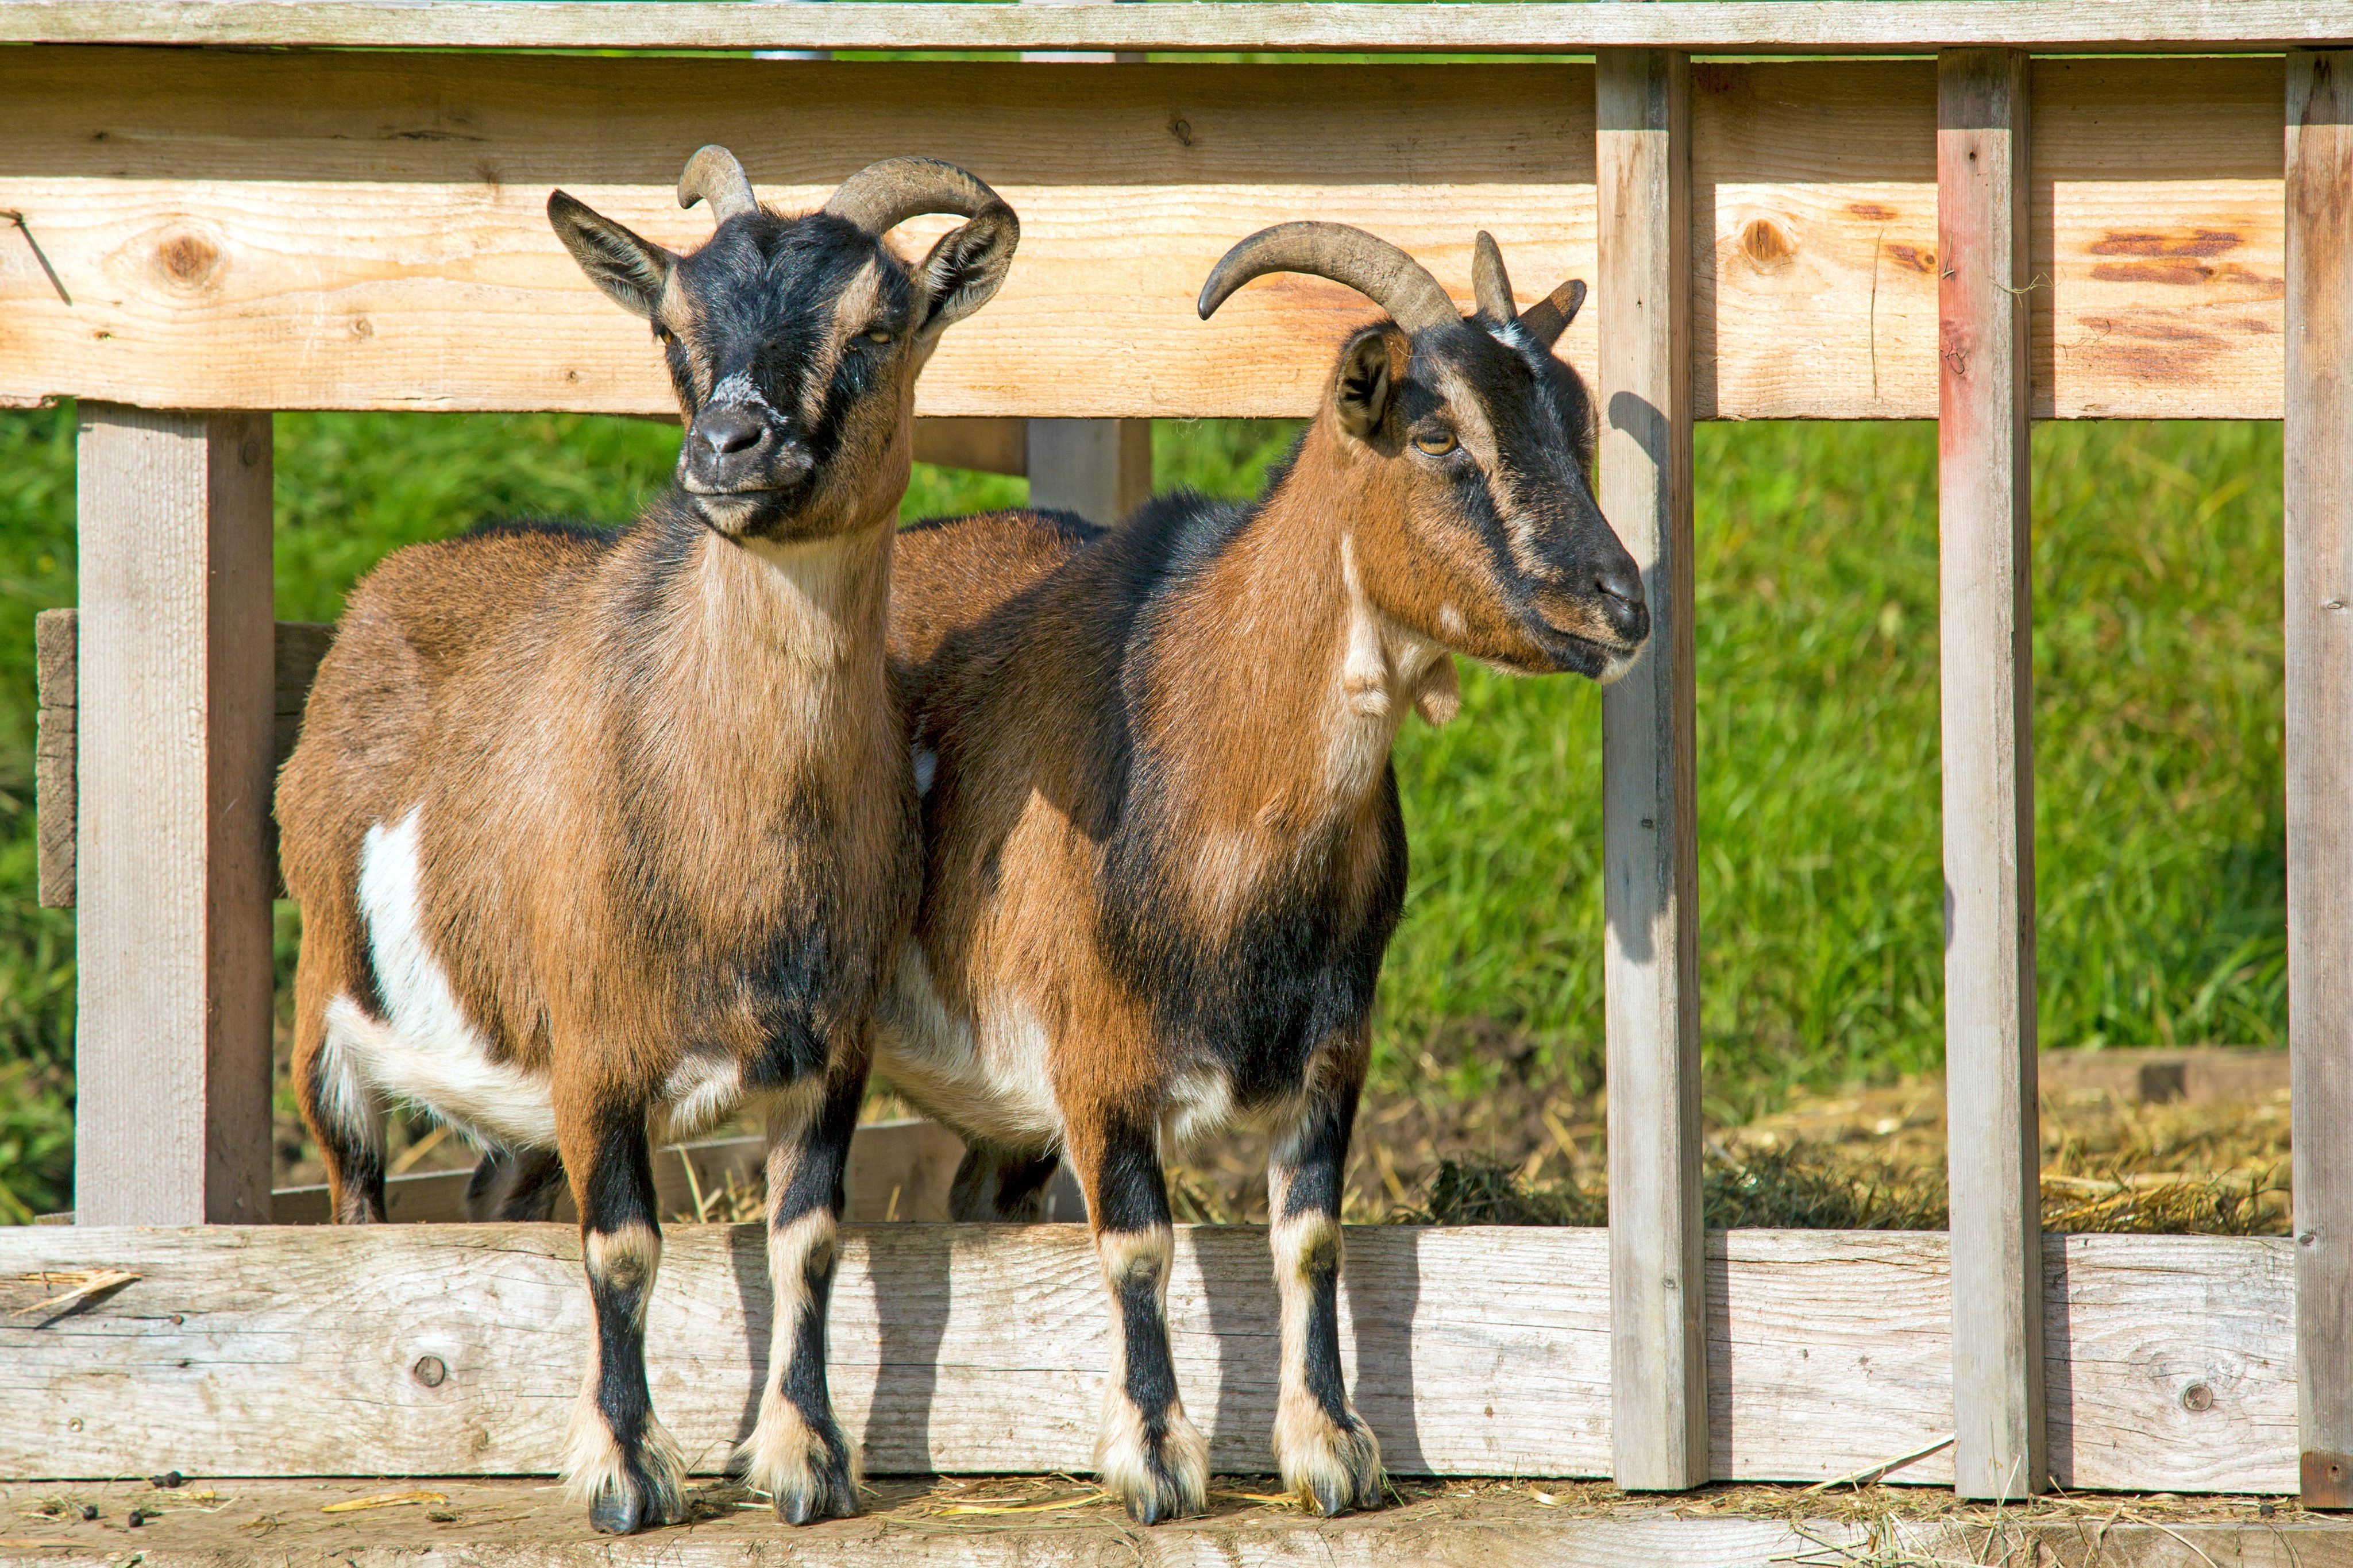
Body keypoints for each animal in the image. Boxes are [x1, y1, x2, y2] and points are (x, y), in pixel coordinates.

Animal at [275, 146, 1019, 1534]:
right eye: (672, 328)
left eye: (878, 325)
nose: (729, 444)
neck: (731, 841)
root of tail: (382, 591)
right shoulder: (596, 1055)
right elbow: (621, 1249)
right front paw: (626, 1475)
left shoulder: (828, 1054)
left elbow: (808, 1240)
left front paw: (806, 1460)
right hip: (329, 1024)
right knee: (357, 1203)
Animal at [877, 222, 1648, 1523]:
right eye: (1435, 435)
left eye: (1578, 422)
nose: (1619, 605)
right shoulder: (1096, 1064)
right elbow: (1138, 1248)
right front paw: (1153, 1462)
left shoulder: (1332, 1054)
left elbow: (1311, 1241)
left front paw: (1332, 1450)